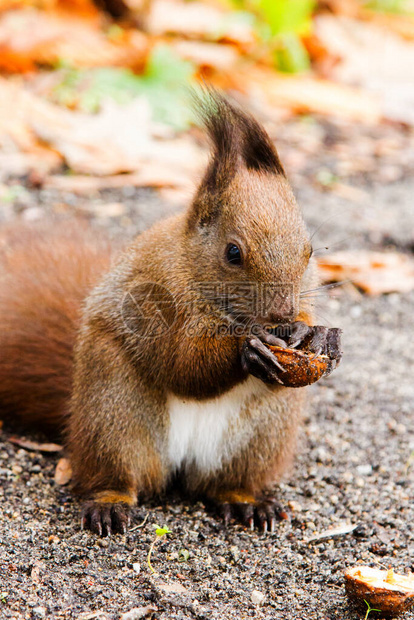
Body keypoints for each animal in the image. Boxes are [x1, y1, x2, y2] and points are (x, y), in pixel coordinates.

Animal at [0, 92, 342, 532]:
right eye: (233, 253)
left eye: (310, 250)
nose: (282, 314)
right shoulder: (153, 303)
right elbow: (182, 365)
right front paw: (247, 349)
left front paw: (318, 336)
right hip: (114, 412)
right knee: (116, 472)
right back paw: (109, 503)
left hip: (260, 438)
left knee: (228, 481)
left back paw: (246, 502)